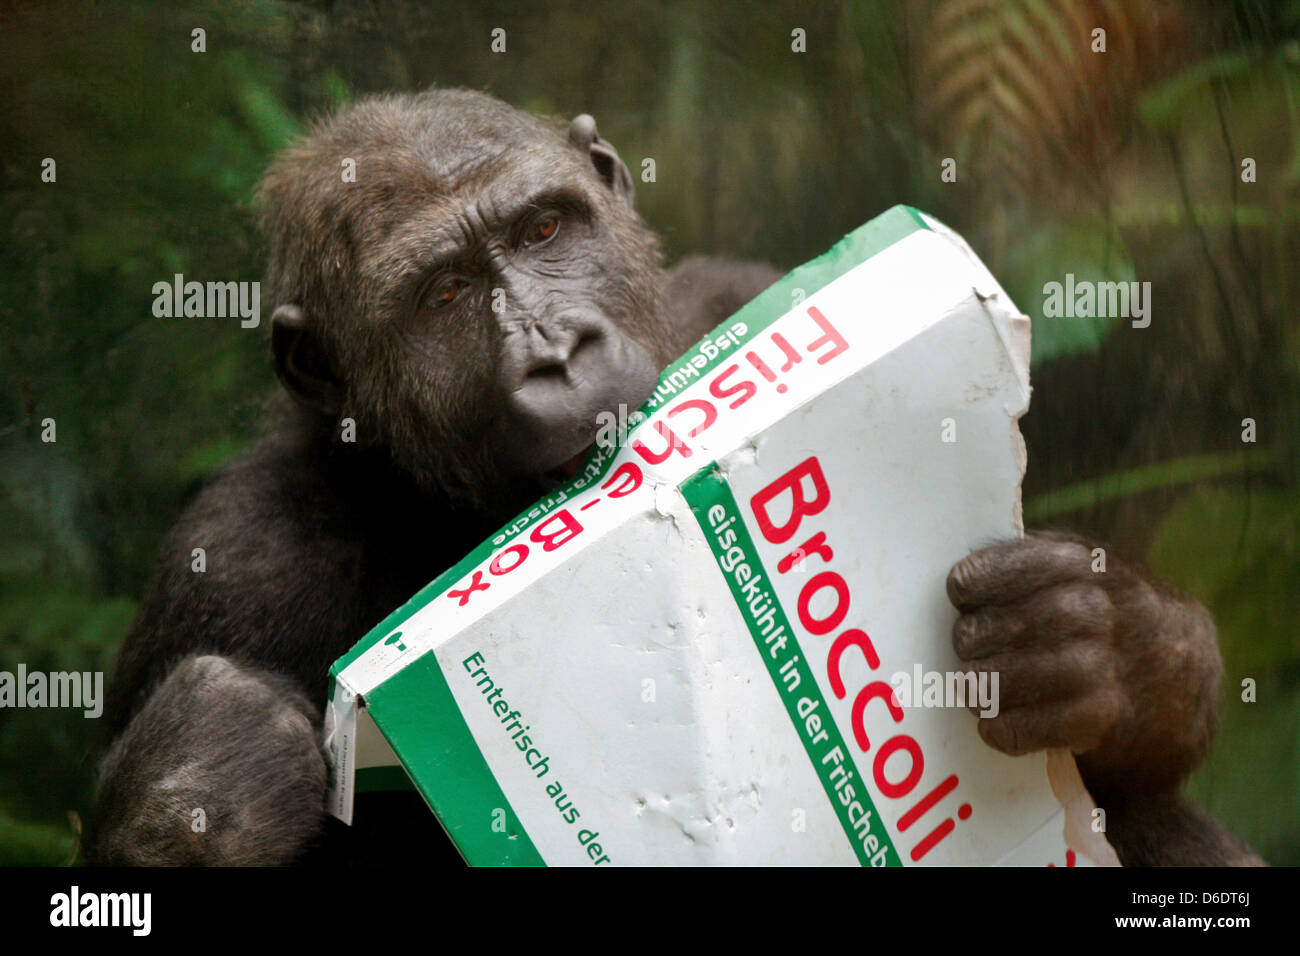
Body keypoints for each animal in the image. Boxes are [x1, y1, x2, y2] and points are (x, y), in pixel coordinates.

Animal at [83, 87, 1258, 868]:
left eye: (543, 228)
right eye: (444, 296)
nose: (556, 351)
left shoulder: (733, 289)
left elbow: (1127, 745)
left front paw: (1095, 639)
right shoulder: (236, 564)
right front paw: (204, 781)